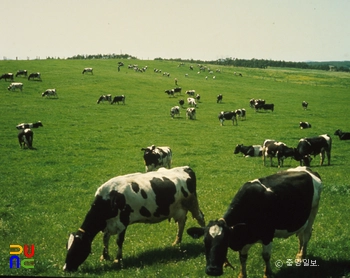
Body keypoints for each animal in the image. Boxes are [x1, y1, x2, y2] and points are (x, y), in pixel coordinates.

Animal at [63, 165, 206, 272]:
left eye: (76, 248)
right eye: (67, 247)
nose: (65, 268)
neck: (109, 199)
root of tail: (185, 167)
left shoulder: (122, 222)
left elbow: (119, 241)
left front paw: (117, 260)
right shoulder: (108, 225)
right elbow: (105, 239)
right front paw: (104, 256)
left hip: (192, 202)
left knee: (200, 218)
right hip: (179, 208)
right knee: (181, 223)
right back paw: (176, 242)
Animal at [189, 166, 322, 276]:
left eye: (225, 242)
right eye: (205, 242)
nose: (212, 270)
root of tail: (307, 169)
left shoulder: (268, 235)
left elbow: (266, 256)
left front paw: (267, 274)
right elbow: (242, 257)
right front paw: (242, 275)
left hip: (313, 212)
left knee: (306, 235)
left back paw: (302, 257)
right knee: (301, 236)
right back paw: (299, 255)